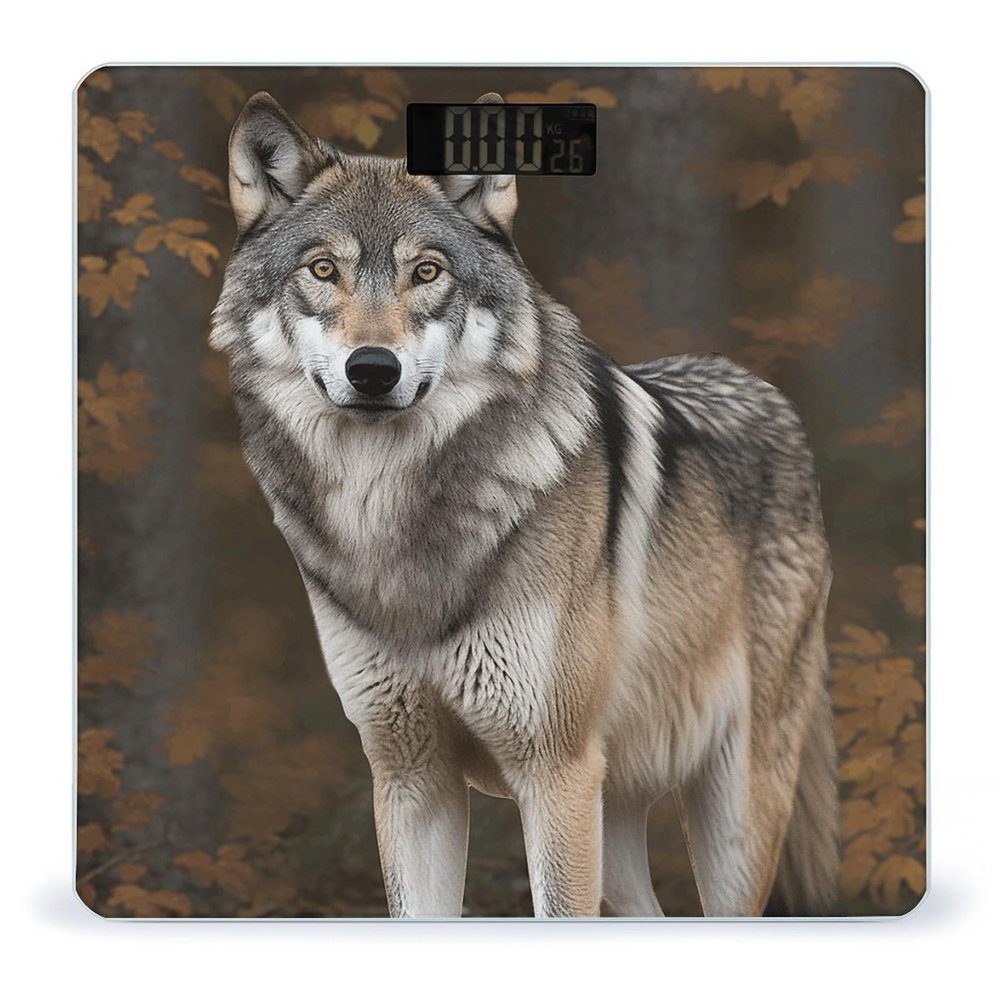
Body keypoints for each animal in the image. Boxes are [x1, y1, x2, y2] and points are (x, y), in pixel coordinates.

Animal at [210, 91, 840, 918]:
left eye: (427, 271)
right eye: (323, 269)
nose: (373, 369)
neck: (393, 522)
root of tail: (769, 394)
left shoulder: (554, 774)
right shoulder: (410, 779)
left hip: (729, 816)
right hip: (616, 819)